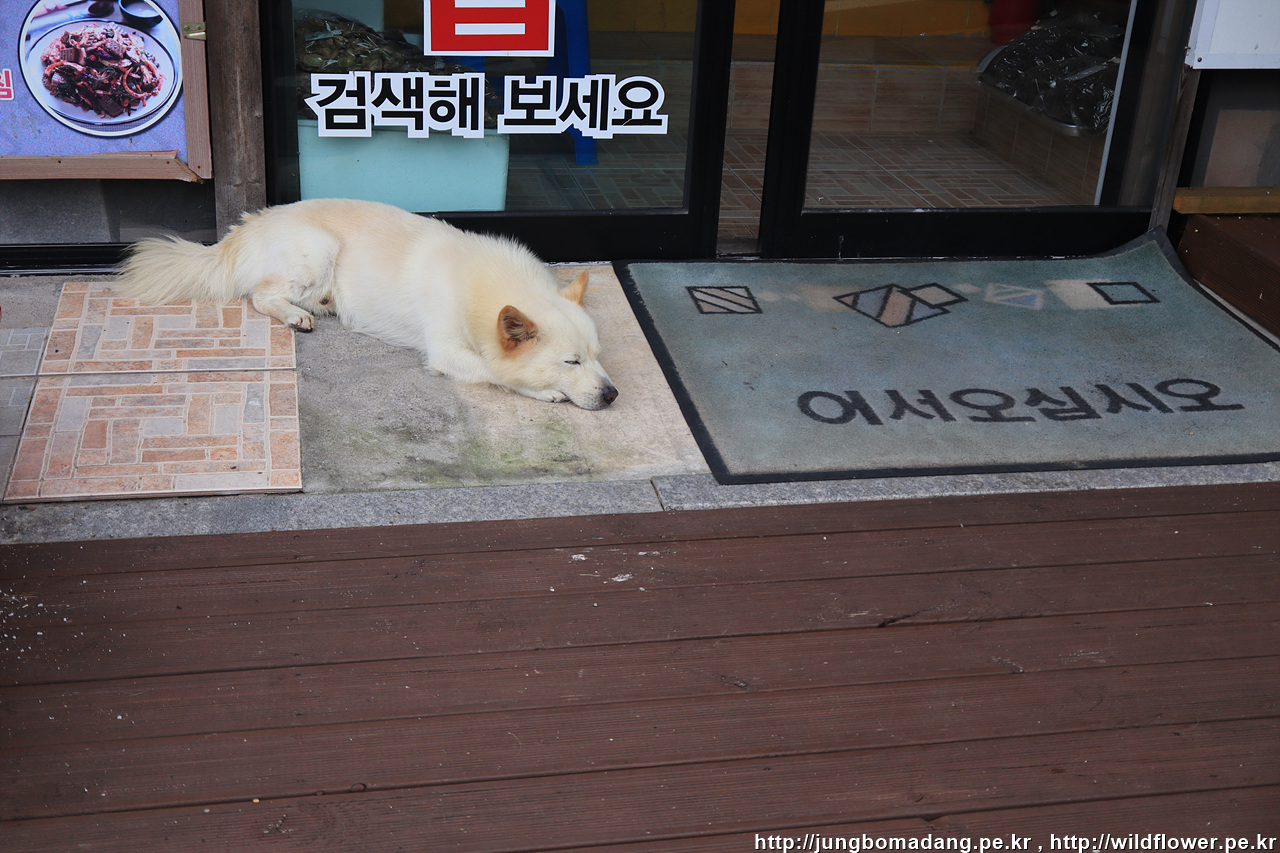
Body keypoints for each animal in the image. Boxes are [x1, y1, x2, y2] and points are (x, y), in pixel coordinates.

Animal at [115, 199, 618, 410]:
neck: (482, 284)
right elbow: (496, 371)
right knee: (261, 295)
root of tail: (243, 229)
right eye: (571, 361)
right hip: (318, 250)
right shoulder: (446, 351)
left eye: (597, 356)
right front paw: (544, 391)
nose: (613, 394)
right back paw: (296, 314)